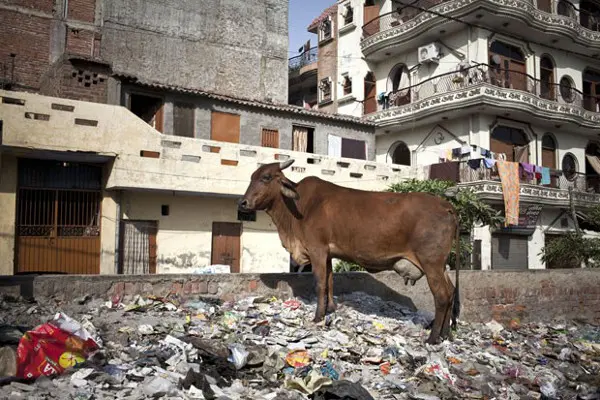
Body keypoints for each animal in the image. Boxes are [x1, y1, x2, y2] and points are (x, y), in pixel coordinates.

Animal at [239, 159, 460, 344]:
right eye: (251, 176)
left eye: (266, 177)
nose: (243, 203)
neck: (298, 208)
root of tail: (445, 205)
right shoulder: (327, 254)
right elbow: (329, 281)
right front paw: (330, 309)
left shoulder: (317, 250)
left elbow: (320, 283)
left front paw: (318, 316)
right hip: (441, 266)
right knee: (450, 292)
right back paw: (446, 334)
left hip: (431, 263)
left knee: (441, 296)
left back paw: (433, 337)